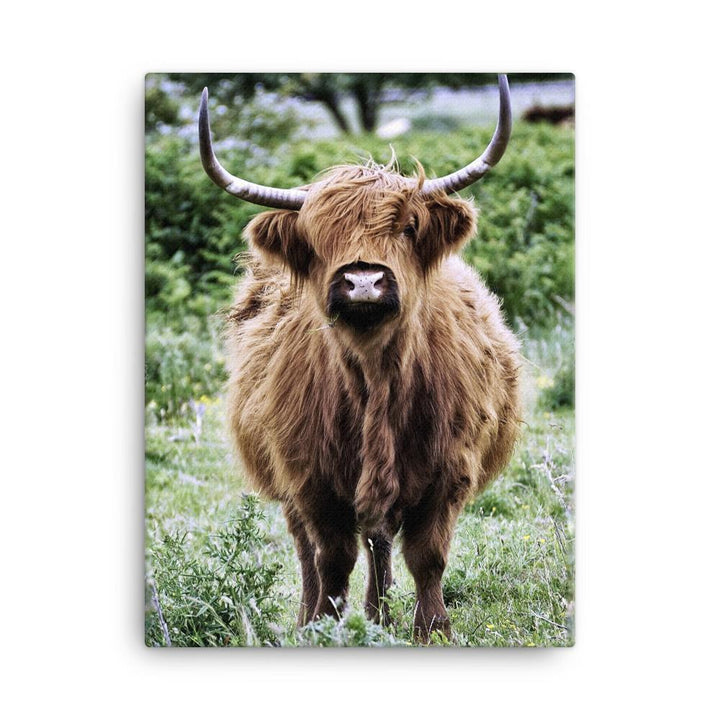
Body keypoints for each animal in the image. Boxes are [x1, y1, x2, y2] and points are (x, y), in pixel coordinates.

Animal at [198, 75, 522, 642]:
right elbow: (331, 557)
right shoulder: (310, 478)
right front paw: (326, 624)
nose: (364, 281)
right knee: (313, 549)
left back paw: (379, 613)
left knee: (380, 538)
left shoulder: (450, 472)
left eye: (409, 227)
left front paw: (432, 630)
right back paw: (320, 616)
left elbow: (427, 556)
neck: (376, 378)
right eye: (317, 237)